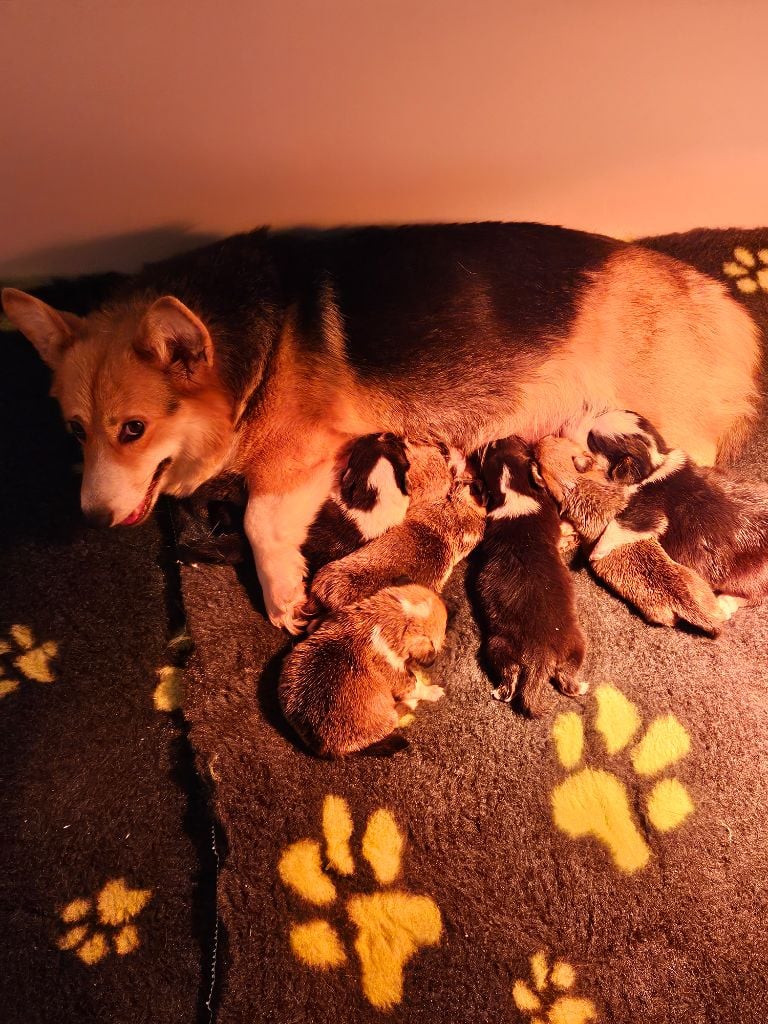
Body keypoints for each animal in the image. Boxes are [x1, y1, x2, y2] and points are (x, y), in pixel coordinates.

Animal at [278, 581, 448, 757]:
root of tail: (326, 748)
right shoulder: (397, 675)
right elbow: (414, 685)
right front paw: (433, 691)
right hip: (388, 717)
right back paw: (410, 702)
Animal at [473, 436, 585, 716]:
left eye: (497, 445)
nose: (499, 436)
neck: (514, 489)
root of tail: (539, 655)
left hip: (500, 646)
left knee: (512, 674)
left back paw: (501, 691)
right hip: (574, 643)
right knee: (564, 677)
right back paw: (580, 687)